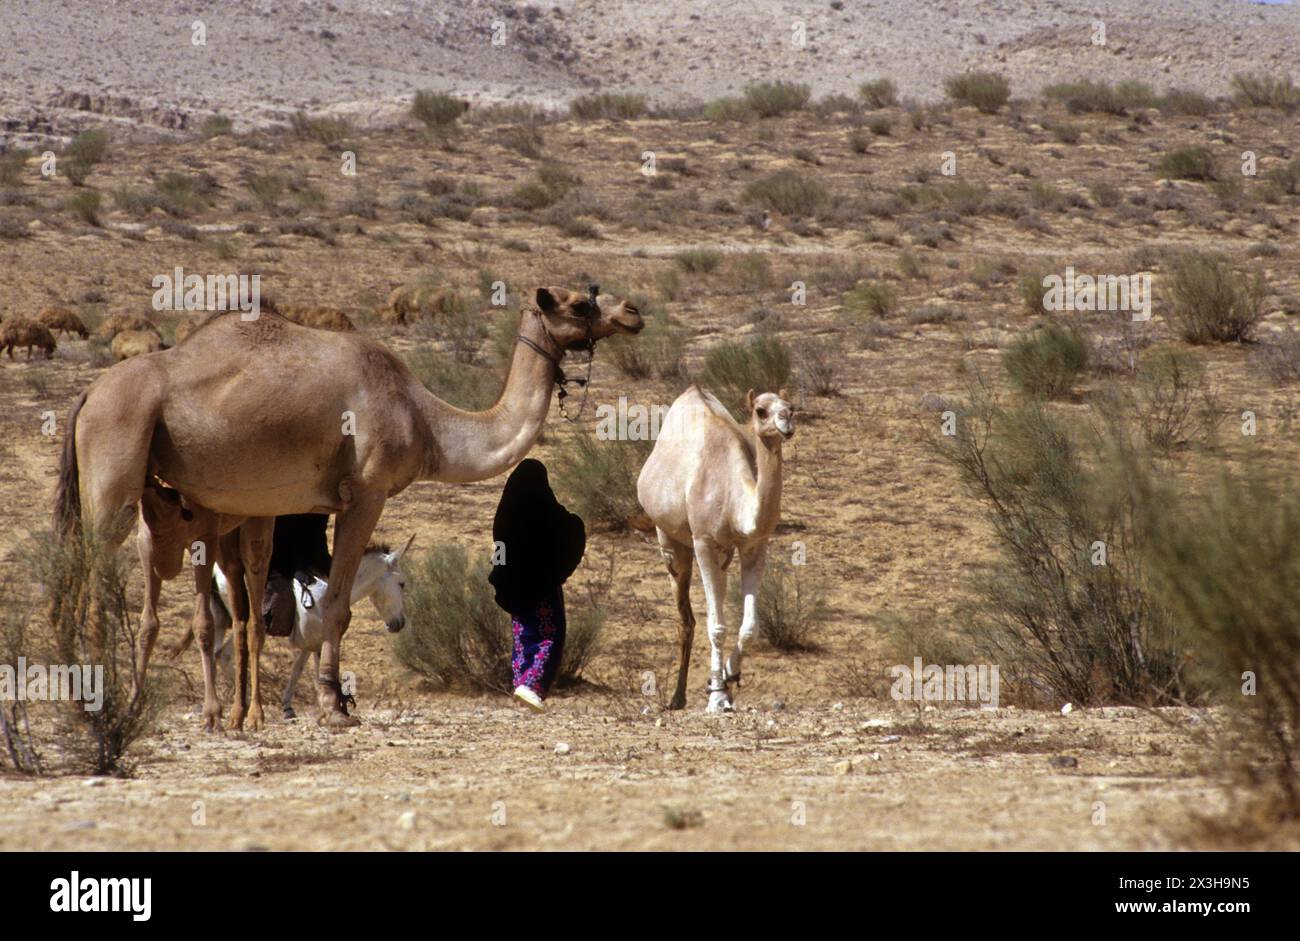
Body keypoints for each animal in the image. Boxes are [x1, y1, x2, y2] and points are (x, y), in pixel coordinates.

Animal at [55, 287, 644, 727]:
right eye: (579, 303)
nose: (632, 313)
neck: (426, 420)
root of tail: (88, 395)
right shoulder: (367, 490)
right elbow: (338, 605)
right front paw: (333, 704)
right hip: (117, 457)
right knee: (94, 571)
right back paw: (97, 693)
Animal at [637, 384, 790, 707]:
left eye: (791, 407)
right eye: (761, 411)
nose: (786, 422)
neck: (735, 500)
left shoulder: (754, 546)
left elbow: (750, 626)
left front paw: (729, 676)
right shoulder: (704, 542)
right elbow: (716, 626)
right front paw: (717, 697)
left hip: (723, 553)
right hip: (670, 539)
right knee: (686, 618)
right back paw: (677, 697)